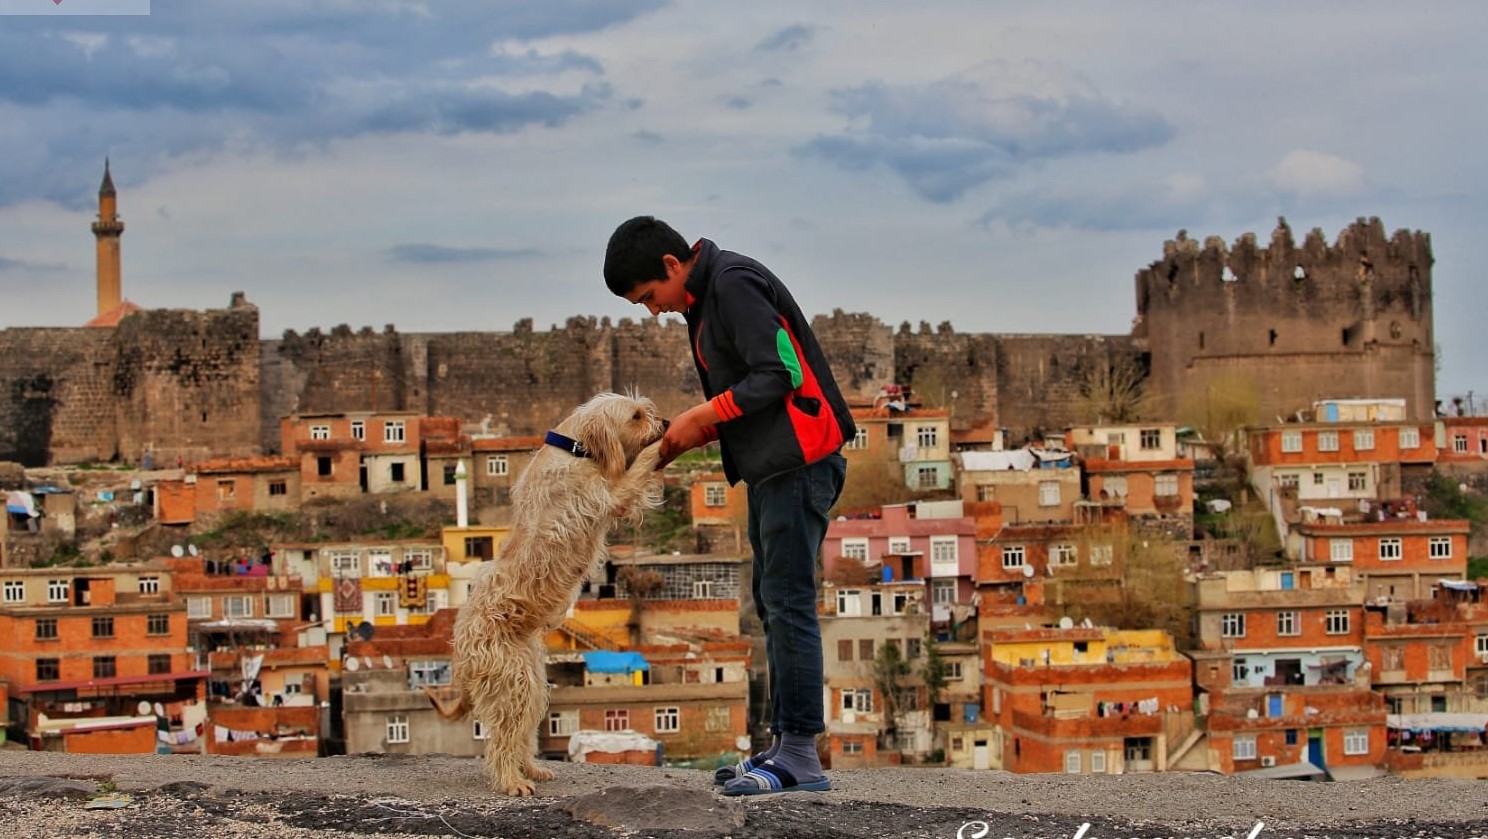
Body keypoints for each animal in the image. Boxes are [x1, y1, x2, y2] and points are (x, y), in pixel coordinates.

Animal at [431, 389, 663, 797]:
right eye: (636, 416)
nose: (664, 422)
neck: (574, 448)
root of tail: (460, 651)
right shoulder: (609, 493)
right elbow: (638, 469)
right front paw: (659, 447)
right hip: (514, 682)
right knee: (501, 740)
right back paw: (511, 781)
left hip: (533, 683)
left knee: (521, 734)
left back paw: (531, 768)